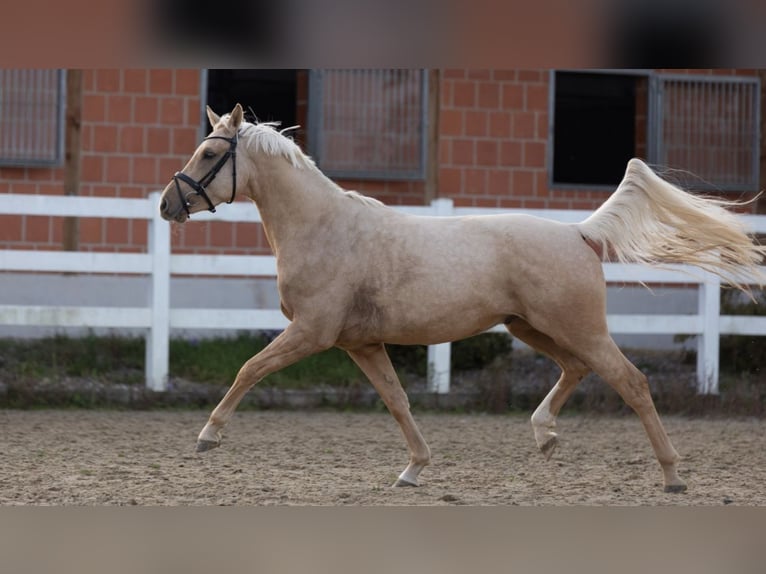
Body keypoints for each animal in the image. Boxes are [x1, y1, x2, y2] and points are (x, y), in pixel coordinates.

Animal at [159, 103, 765, 492]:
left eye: (209, 153)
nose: (168, 205)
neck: (326, 227)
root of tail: (579, 232)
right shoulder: (360, 344)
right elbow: (398, 401)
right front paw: (413, 470)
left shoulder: (311, 332)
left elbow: (249, 369)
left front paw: (207, 437)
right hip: (530, 327)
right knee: (575, 369)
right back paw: (545, 437)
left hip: (579, 328)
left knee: (632, 382)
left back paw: (672, 476)